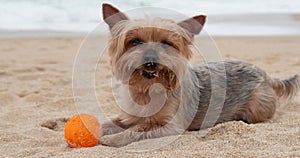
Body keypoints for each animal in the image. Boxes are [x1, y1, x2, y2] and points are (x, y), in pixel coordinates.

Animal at [99, 3, 300, 148]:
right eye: (135, 42)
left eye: (167, 43)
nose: (150, 60)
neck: (147, 89)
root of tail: (265, 74)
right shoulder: (128, 115)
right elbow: (109, 123)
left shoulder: (171, 126)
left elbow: (138, 129)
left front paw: (114, 139)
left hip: (257, 107)